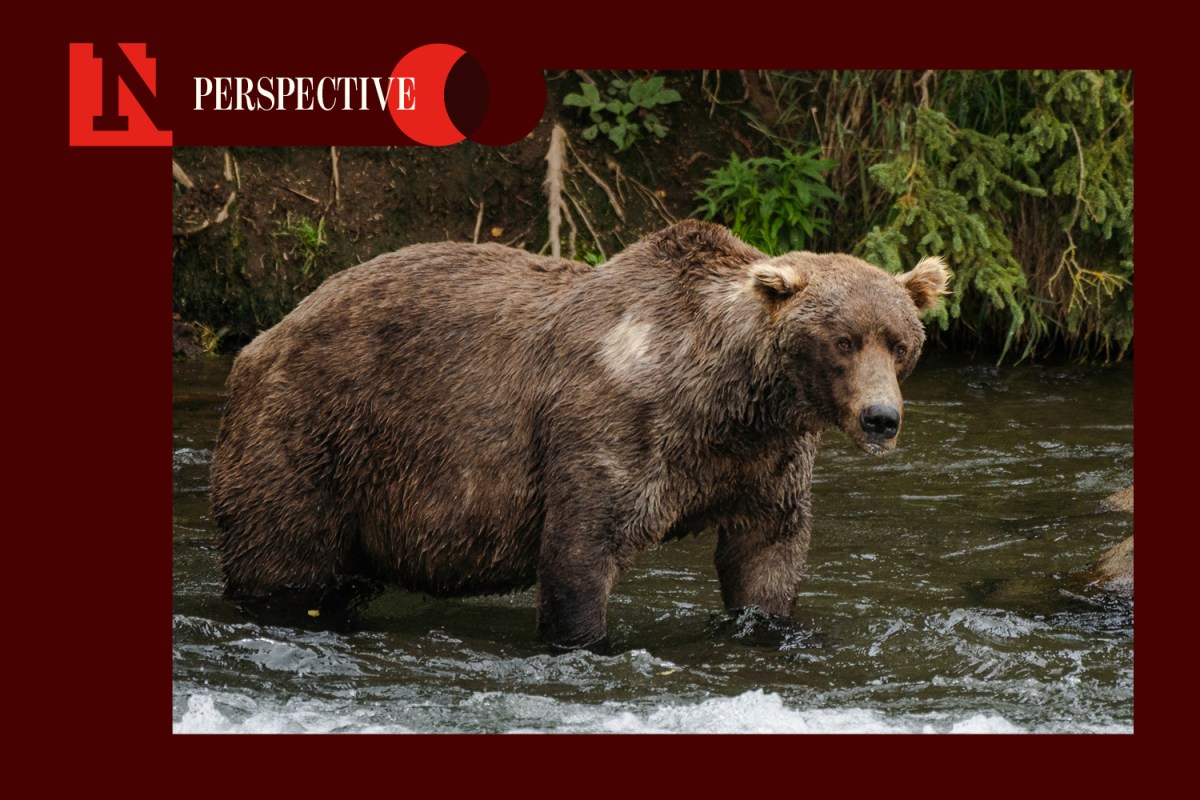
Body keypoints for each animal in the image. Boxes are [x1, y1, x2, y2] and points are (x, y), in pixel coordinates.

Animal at [210, 220, 948, 651]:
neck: (725, 398)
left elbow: (766, 552)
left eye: (900, 341)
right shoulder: (614, 428)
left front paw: (767, 626)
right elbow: (580, 551)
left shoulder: (765, 460)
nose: (881, 418)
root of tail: (262, 338)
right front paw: (585, 640)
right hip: (313, 434)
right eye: (843, 341)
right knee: (285, 561)